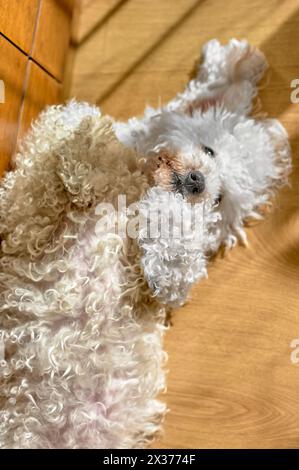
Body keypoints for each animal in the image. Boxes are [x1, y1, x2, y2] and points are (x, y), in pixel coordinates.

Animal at [0, 40, 290, 448]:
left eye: (220, 200)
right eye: (210, 151)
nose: (197, 182)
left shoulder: (173, 283)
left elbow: (175, 249)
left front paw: (158, 211)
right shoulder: (22, 216)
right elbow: (68, 134)